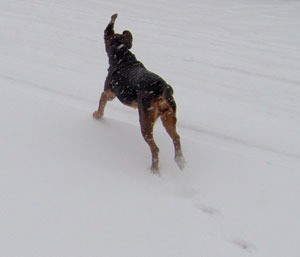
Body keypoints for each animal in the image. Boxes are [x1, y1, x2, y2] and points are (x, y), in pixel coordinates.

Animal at [92, 14, 184, 173]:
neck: (123, 57)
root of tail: (161, 89)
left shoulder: (108, 93)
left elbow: (101, 105)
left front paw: (97, 116)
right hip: (168, 117)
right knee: (176, 138)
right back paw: (180, 162)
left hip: (146, 121)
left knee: (155, 148)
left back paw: (154, 169)